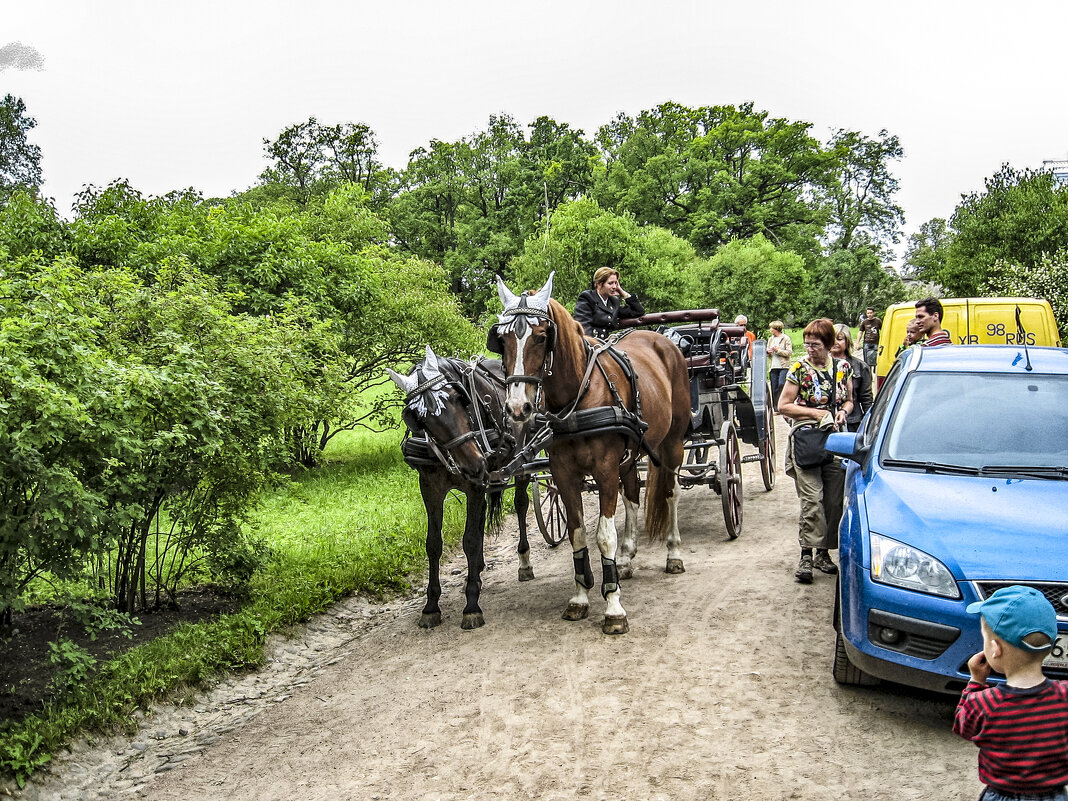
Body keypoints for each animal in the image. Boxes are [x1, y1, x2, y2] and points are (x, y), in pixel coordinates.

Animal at [489, 273, 687, 636]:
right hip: (632, 451)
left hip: (673, 444)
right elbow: (578, 535)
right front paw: (581, 596)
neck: (577, 397)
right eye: (503, 339)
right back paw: (626, 559)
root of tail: (661, 339)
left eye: (542, 337)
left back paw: (674, 553)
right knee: (632, 496)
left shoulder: (606, 469)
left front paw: (613, 607)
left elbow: (604, 537)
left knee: (670, 493)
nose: (517, 407)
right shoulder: (564, 474)